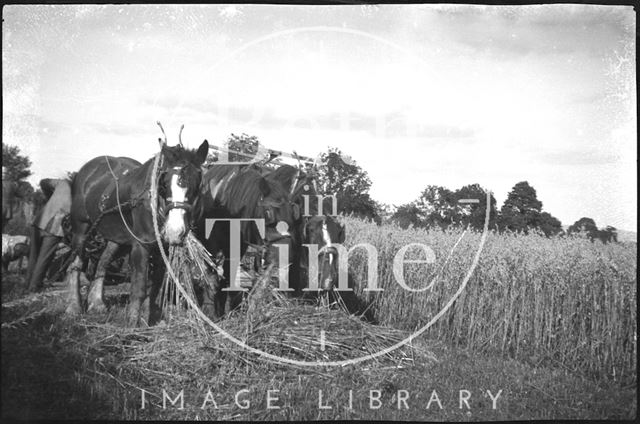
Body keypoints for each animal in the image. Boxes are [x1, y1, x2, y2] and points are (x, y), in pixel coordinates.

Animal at [67, 137, 208, 326]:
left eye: (197, 184)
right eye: (164, 184)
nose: (174, 231)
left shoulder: (161, 250)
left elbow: (154, 288)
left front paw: (147, 319)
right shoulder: (141, 244)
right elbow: (140, 285)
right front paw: (133, 321)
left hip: (117, 236)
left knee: (103, 262)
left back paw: (96, 302)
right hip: (80, 229)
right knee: (76, 264)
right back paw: (73, 307)